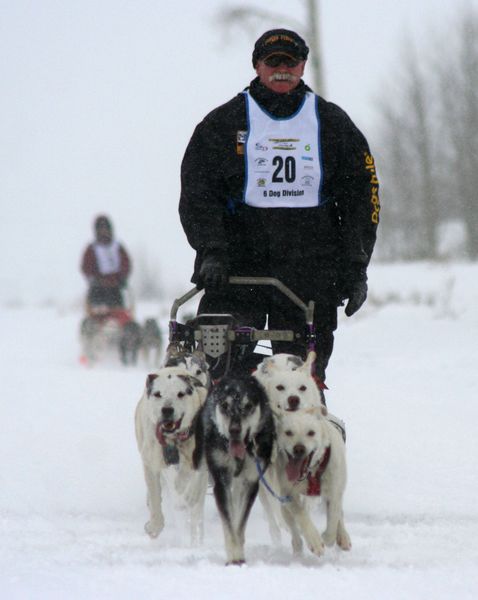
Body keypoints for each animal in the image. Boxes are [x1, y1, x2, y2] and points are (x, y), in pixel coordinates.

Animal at [135, 366, 208, 544]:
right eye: (158, 394)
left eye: (180, 394)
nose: (167, 410)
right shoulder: (151, 463)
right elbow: (155, 497)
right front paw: (154, 527)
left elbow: (193, 480)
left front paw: (188, 495)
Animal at [193, 376, 274, 568]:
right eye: (224, 405)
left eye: (248, 406)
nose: (234, 430)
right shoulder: (221, 481)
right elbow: (229, 523)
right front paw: (234, 557)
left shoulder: (251, 483)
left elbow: (239, 523)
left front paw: (239, 553)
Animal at [272, 408, 352, 556]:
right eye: (288, 432)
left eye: (311, 432)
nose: (299, 448)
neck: (311, 473)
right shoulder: (288, 494)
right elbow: (301, 515)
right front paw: (314, 541)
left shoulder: (334, 492)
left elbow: (333, 518)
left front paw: (327, 538)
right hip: (284, 506)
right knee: (293, 528)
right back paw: (297, 547)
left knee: (339, 514)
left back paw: (343, 536)